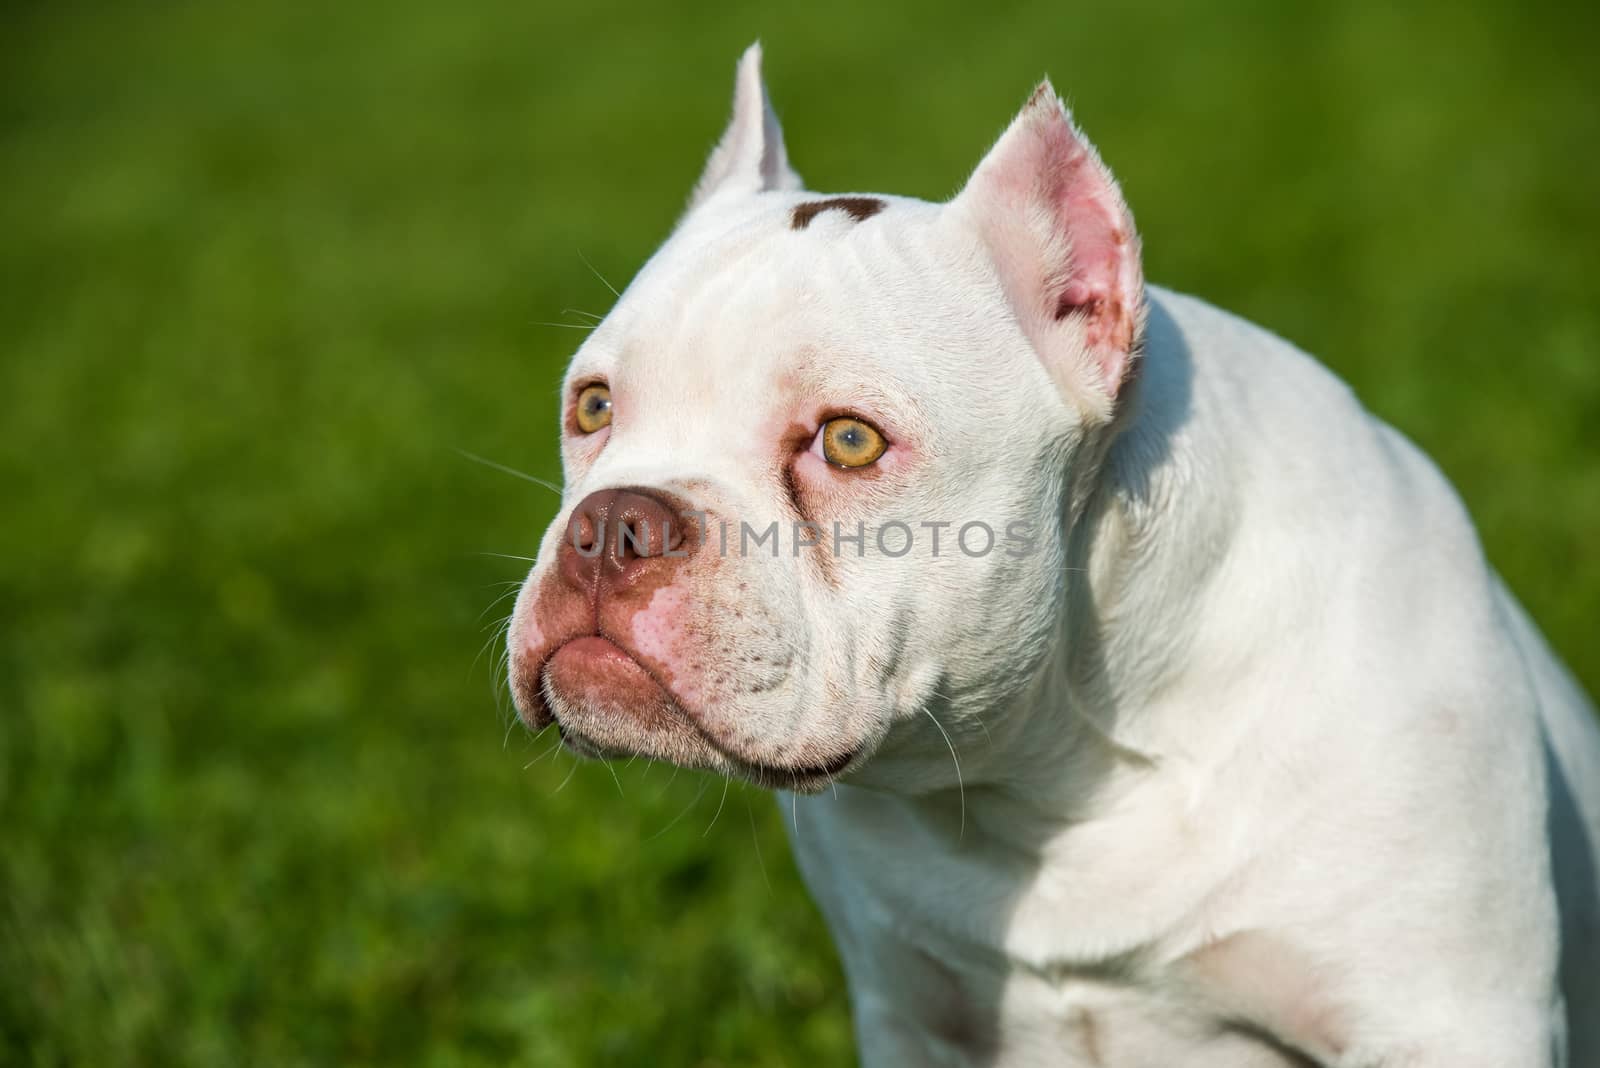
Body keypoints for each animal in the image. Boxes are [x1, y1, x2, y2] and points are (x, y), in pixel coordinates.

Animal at [505, 43, 1593, 1068]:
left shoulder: (1452, 1022)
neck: (1049, 781)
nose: (612, 526)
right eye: (592, 407)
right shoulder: (912, 1016)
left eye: (849, 441)